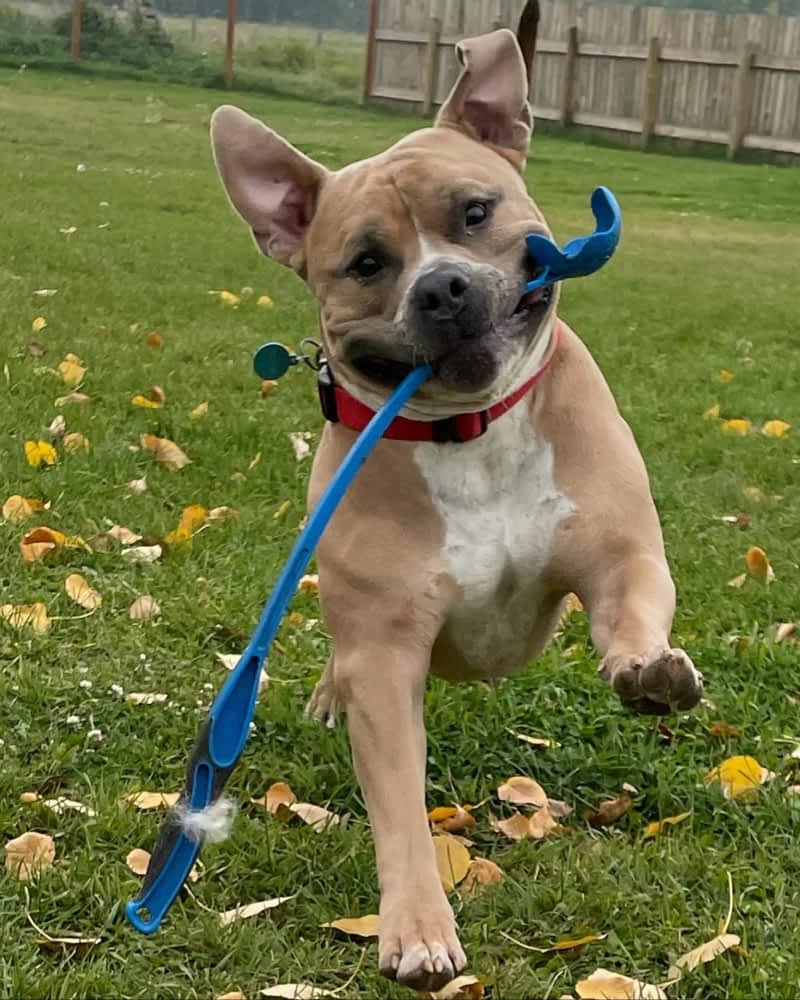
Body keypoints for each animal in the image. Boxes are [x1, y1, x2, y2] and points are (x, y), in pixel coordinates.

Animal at [209, 9, 704, 992]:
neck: (471, 432)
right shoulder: (386, 655)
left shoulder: (620, 555)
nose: (442, 285)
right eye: (367, 263)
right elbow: (399, 802)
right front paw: (414, 925)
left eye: (476, 213)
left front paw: (649, 671)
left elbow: (632, 607)